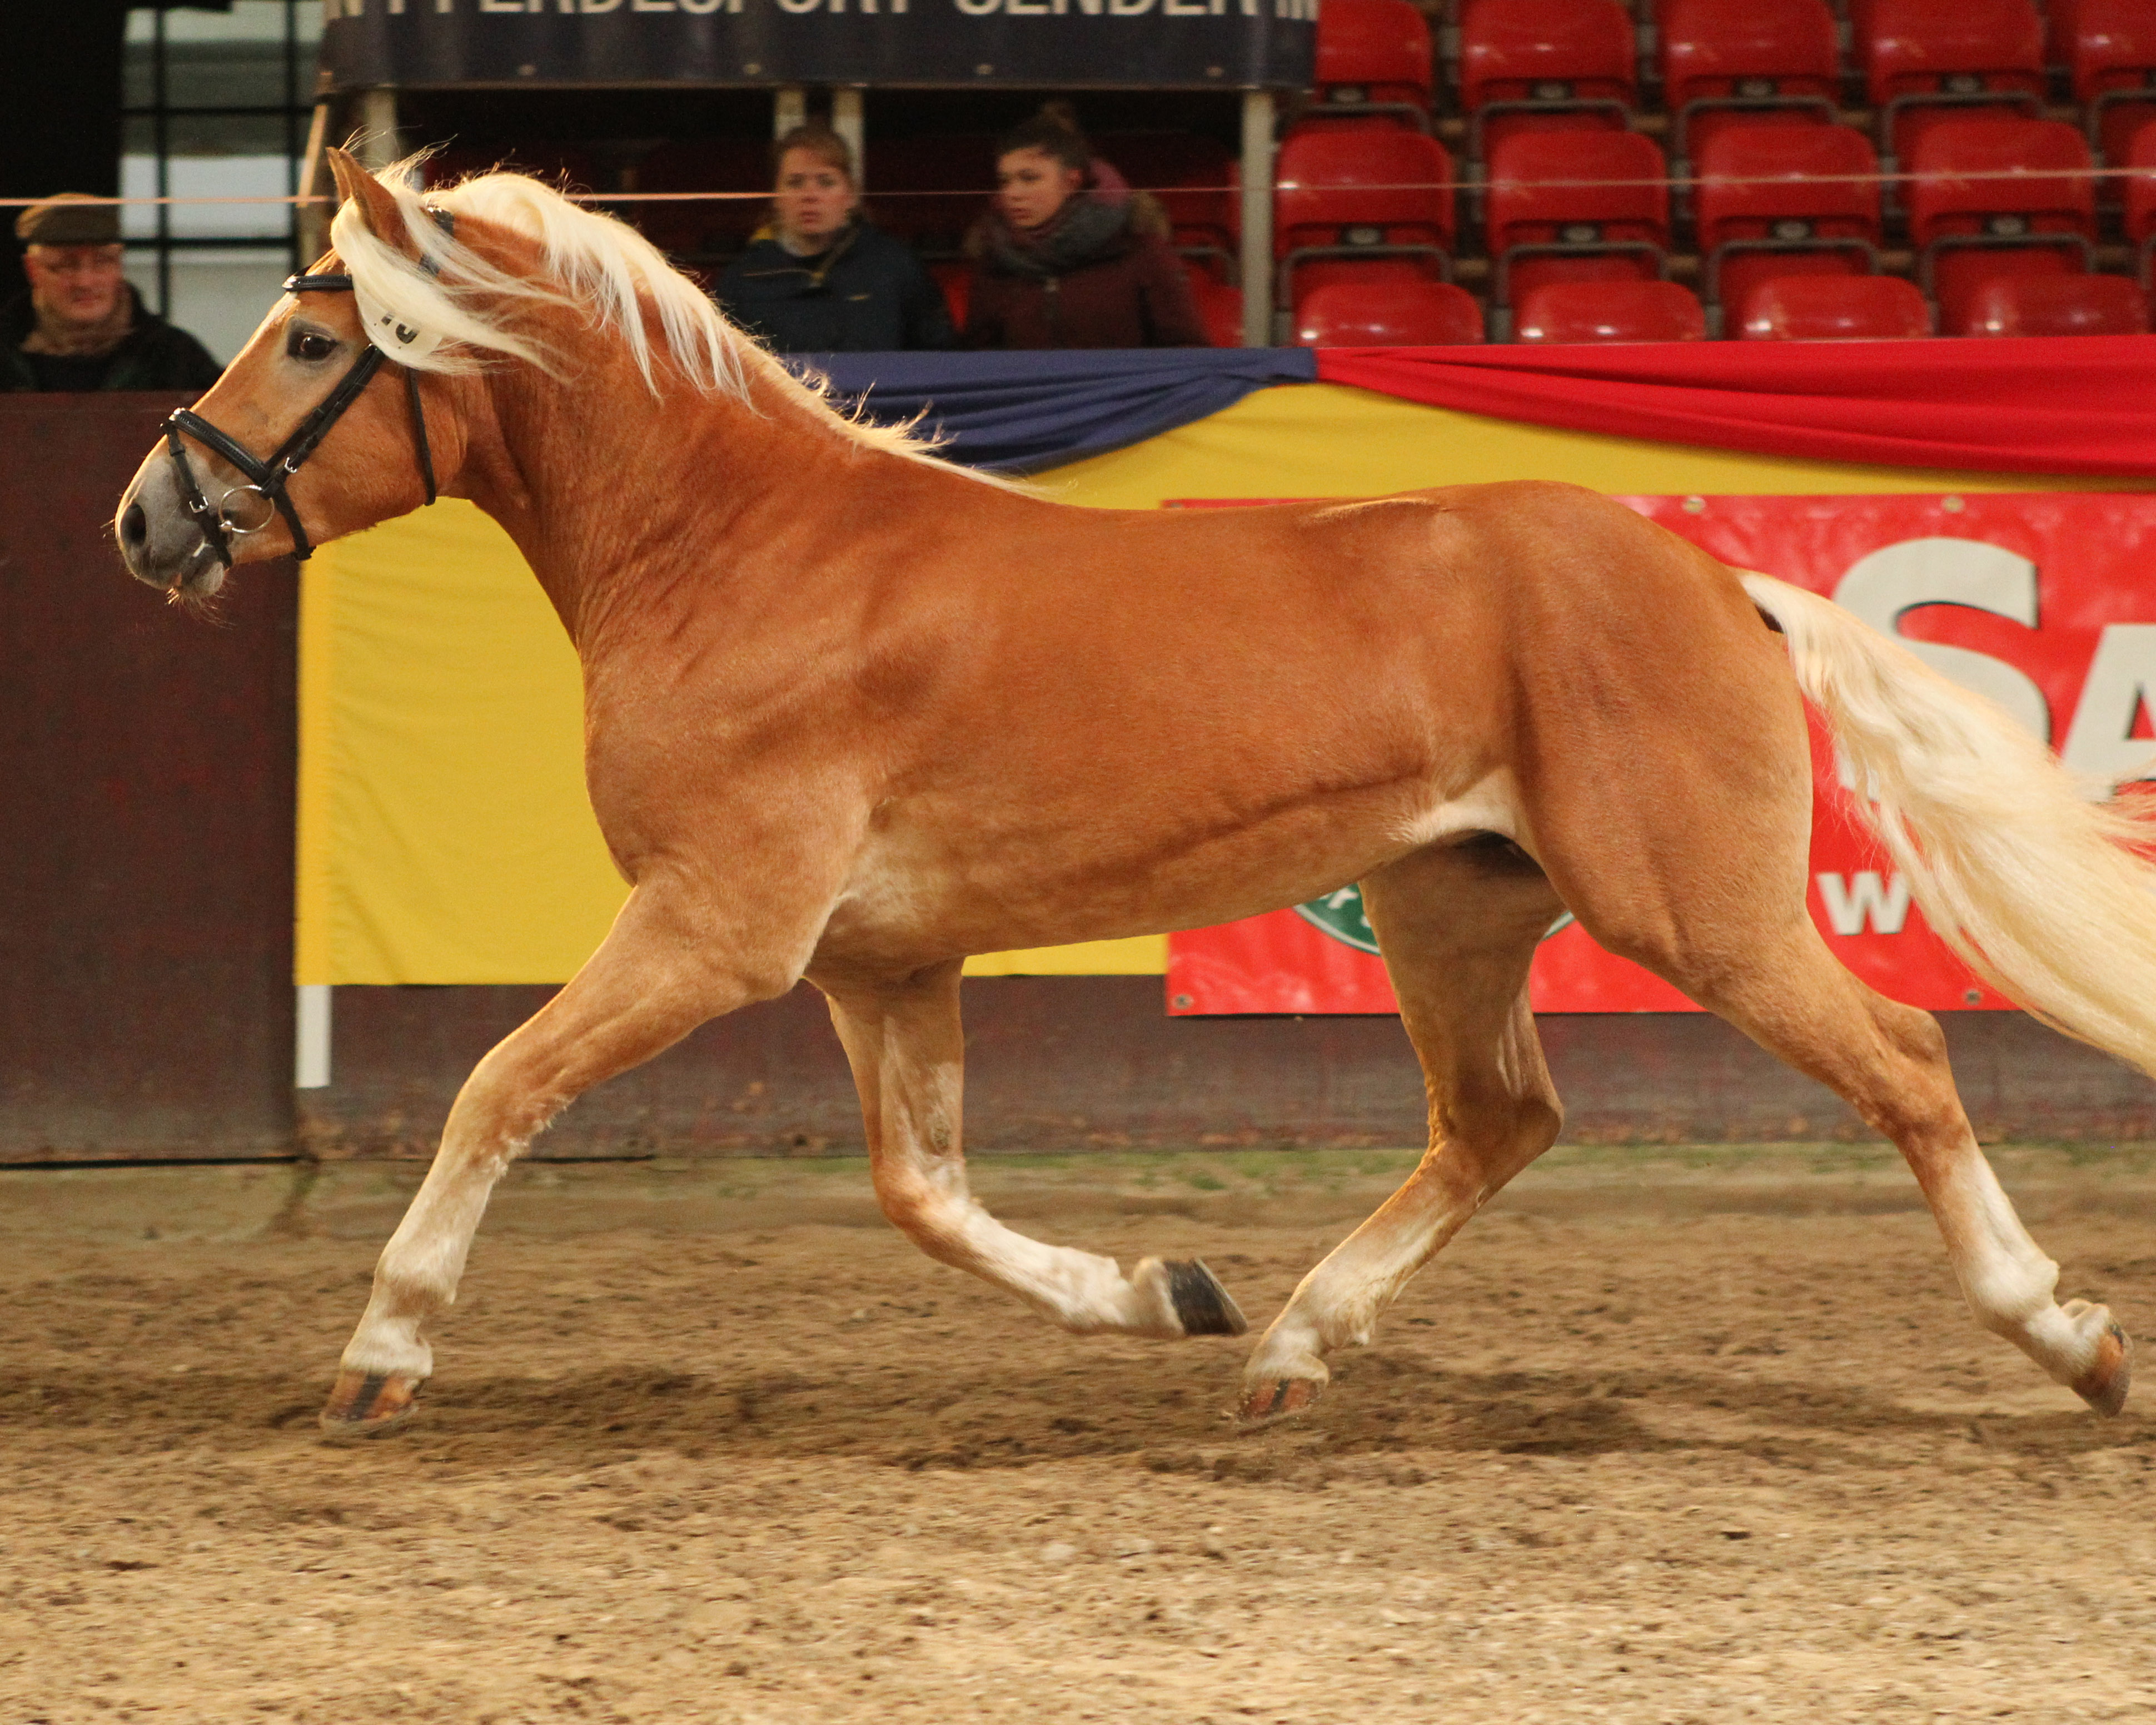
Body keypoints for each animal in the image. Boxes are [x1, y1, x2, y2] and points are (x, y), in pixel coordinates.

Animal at [122, 155, 2156, 1431]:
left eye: (316, 341)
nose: (152, 514)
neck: (747, 557)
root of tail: (1713, 577)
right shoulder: (877, 962)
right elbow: (919, 1190)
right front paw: (1162, 1289)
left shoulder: (716, 925)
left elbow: (495, 1082)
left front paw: (381, 1348)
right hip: (1447, 904)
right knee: (1496, 1117)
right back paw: (1291, 1345)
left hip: (1691, 909)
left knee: (1901, 1057)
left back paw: (2067, 1340)